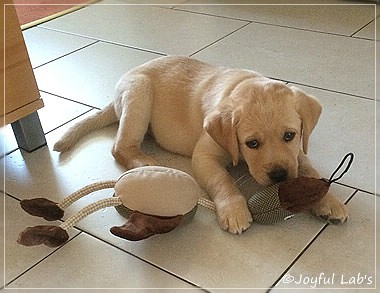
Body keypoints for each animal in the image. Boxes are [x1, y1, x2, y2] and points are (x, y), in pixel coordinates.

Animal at [55, 55, 348, 233]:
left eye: (290, 135)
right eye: (251, 143)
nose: (279, 176)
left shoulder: (297, 154)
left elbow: (310, 170)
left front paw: (329, 201)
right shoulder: (205, 156)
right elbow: (222, 180)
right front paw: (234, 210)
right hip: (139, 95)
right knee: (120, 147)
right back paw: (145, 163)